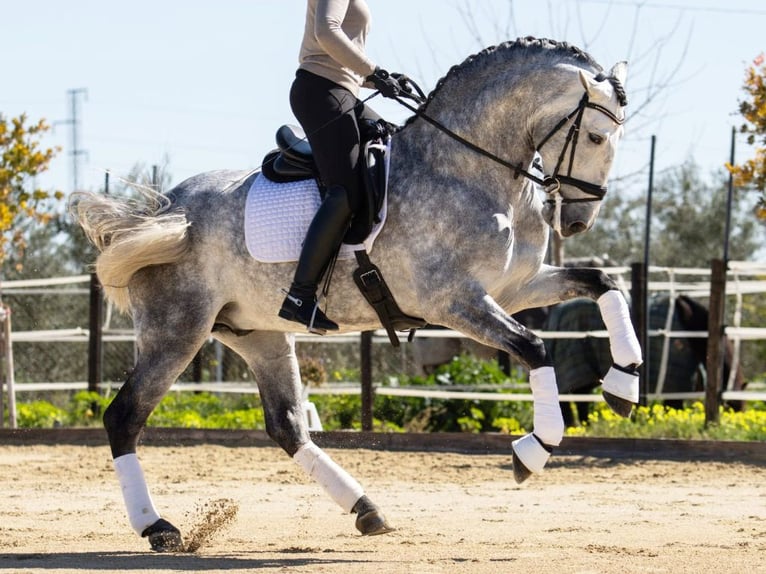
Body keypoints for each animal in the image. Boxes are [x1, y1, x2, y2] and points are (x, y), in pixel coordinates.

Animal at [72, 37, 640, 552]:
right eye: (594, 136)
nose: (578, 220)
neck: (467, 169)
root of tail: (165, 212)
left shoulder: (516, 288)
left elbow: (605, 285)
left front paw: (623, 385)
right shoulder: (454, 301)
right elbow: (534, 347)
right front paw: (535, 448)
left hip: (257, 335)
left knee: (288, 427)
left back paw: (368, 510)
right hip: (177, 332)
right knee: (124, 417)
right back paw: (158, 528)